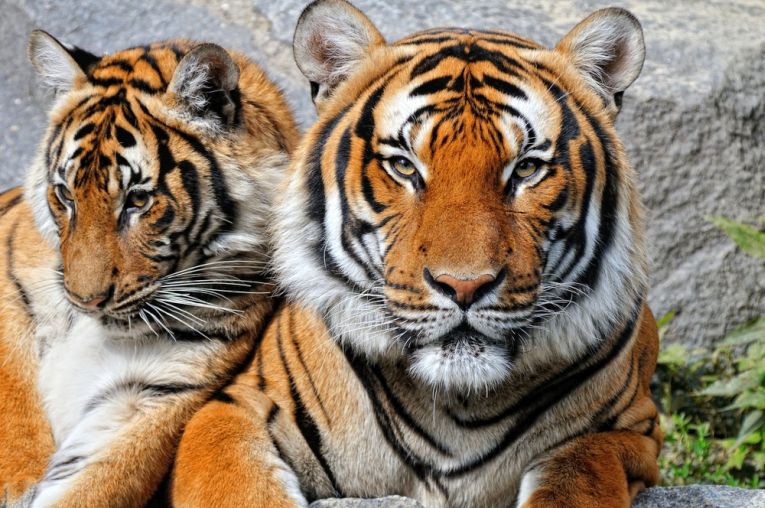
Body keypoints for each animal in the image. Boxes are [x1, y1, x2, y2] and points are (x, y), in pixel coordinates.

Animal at [169, 0, 662, 507]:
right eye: (404, 166)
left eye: (526, 169)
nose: (464, 286)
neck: (457, 405)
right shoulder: (238, 404)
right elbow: (235, 484)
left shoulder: (632, 431)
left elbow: (578, 471)